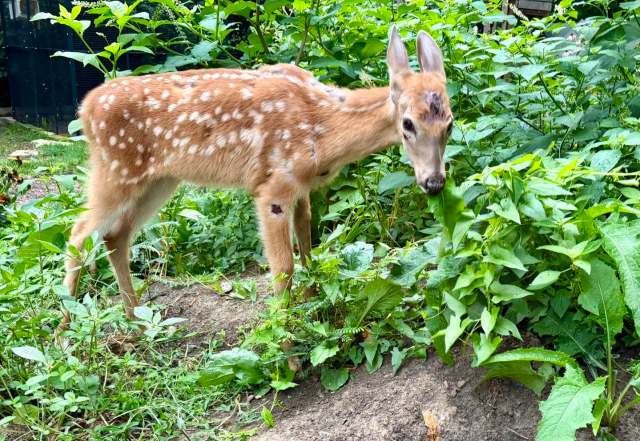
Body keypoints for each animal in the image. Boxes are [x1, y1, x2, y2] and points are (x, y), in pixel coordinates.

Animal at [62, 26, 453, 326]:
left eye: (449, 123)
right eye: (408, 124)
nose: (434, 182)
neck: (323, 128)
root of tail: (85, 108)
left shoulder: (302, 188)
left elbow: (308, 246)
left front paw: (314, 306)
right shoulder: (272, 188)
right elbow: (283, 268)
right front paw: (287, 345)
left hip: (159, 180)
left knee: (115, 235)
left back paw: (135, 319)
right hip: (115, 169)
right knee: (78, 232)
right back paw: (66, 329)